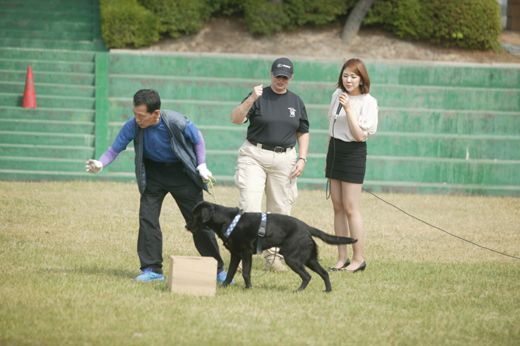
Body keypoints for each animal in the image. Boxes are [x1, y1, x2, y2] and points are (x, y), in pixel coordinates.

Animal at [184, 200, 358, 292]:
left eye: (195, 215)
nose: (186, 225)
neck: (228, 220)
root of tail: (307, 227)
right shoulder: (235, 254)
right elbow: (231, 273)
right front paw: (223, 287)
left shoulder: (246, 253)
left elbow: (246, 273)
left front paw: (248, 288)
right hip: (309, 259)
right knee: (324, 273)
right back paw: (327, 291)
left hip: (293, 259)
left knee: (307, 276)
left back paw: (298, 291)